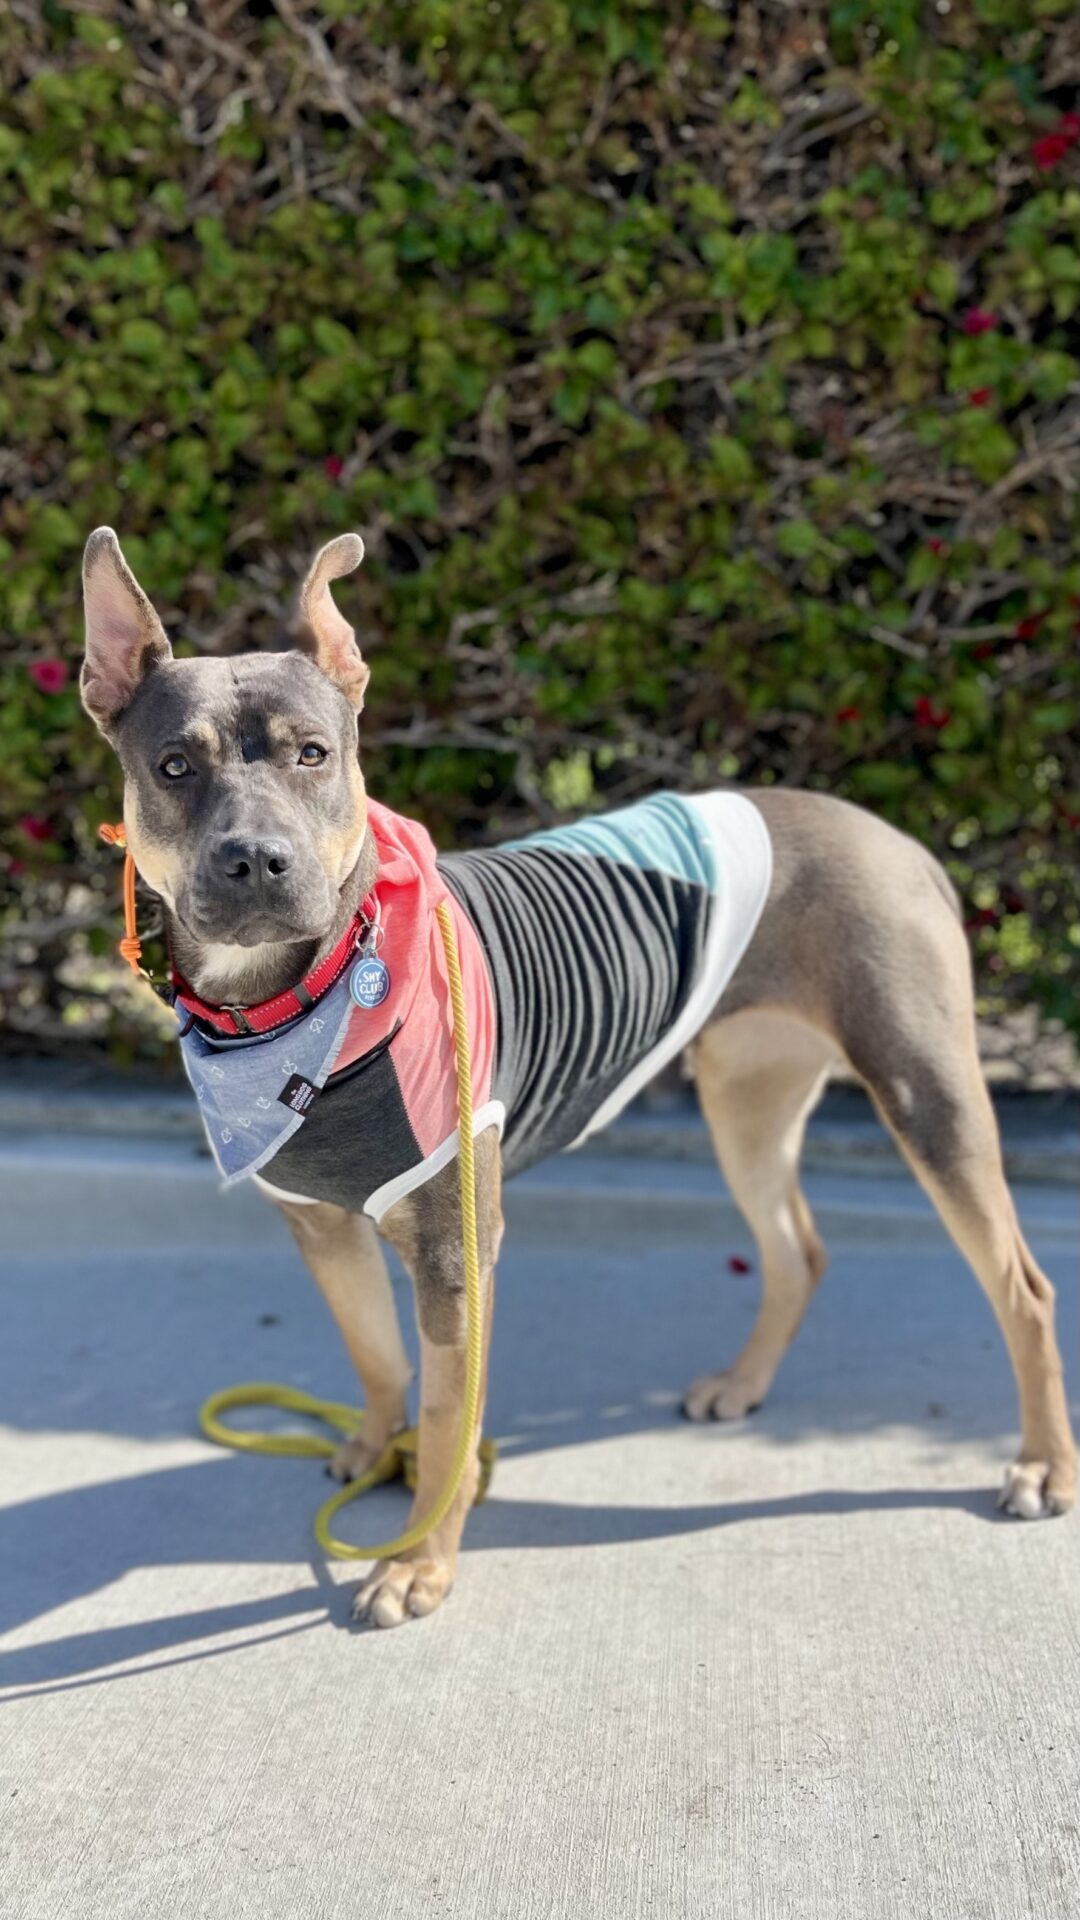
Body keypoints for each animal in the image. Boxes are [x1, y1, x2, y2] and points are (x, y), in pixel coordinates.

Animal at [79, 522, 1068, 1620]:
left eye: (313, 754)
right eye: (173, 765)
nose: (257, 859)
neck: (302, 1003)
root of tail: (901, 842)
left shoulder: (456, 1252)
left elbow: (451, 1417)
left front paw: (419, 1557)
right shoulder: (319, 1226)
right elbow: (375, 1354)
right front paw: (378, 1447)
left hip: (925, 1095)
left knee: (1023, 1287)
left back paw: (1042, 1466)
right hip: (746, 1097)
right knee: (796, 1247)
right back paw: (744, 1383)